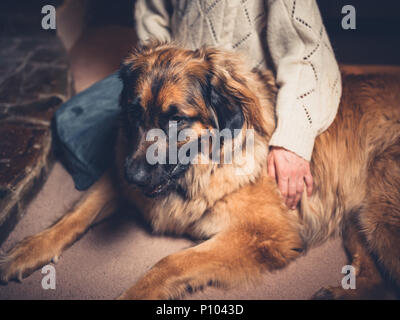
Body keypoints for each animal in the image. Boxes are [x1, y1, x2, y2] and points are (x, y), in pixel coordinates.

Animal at [0, 42, 400, 300]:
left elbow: (170, 262)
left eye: (176, 119)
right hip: (360, 218)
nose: (134, 177)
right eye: (134, 112)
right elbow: (76, 215)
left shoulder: (262, 234)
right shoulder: (117, 178)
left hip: (379, 213)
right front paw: (29, 249)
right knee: (375, 278)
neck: (200, 171)